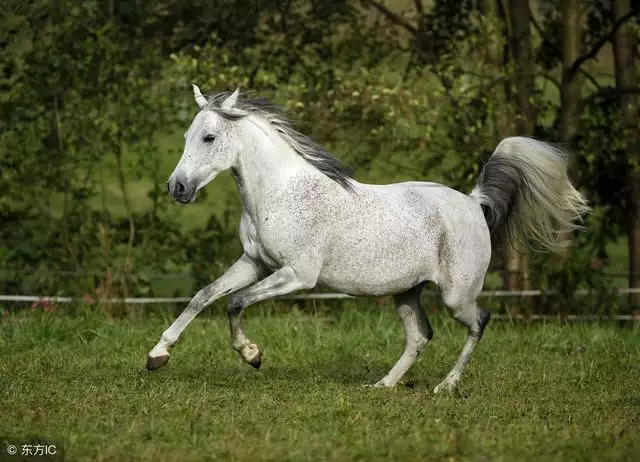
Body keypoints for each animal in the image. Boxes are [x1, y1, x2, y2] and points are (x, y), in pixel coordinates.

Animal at [146, 85, 592, 392]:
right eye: (186, 136)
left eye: (208, 138)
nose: (177, 188)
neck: (279, 192)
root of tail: (472, 201)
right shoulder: (254, 262)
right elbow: (204, 296)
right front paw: (157, 355)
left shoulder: (297, 275)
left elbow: (235, 303)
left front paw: (252, 356)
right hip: (406, 291)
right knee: (419, 336)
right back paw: (383, 385)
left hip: (456, 295)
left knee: (479, 322)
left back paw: (446, 386)